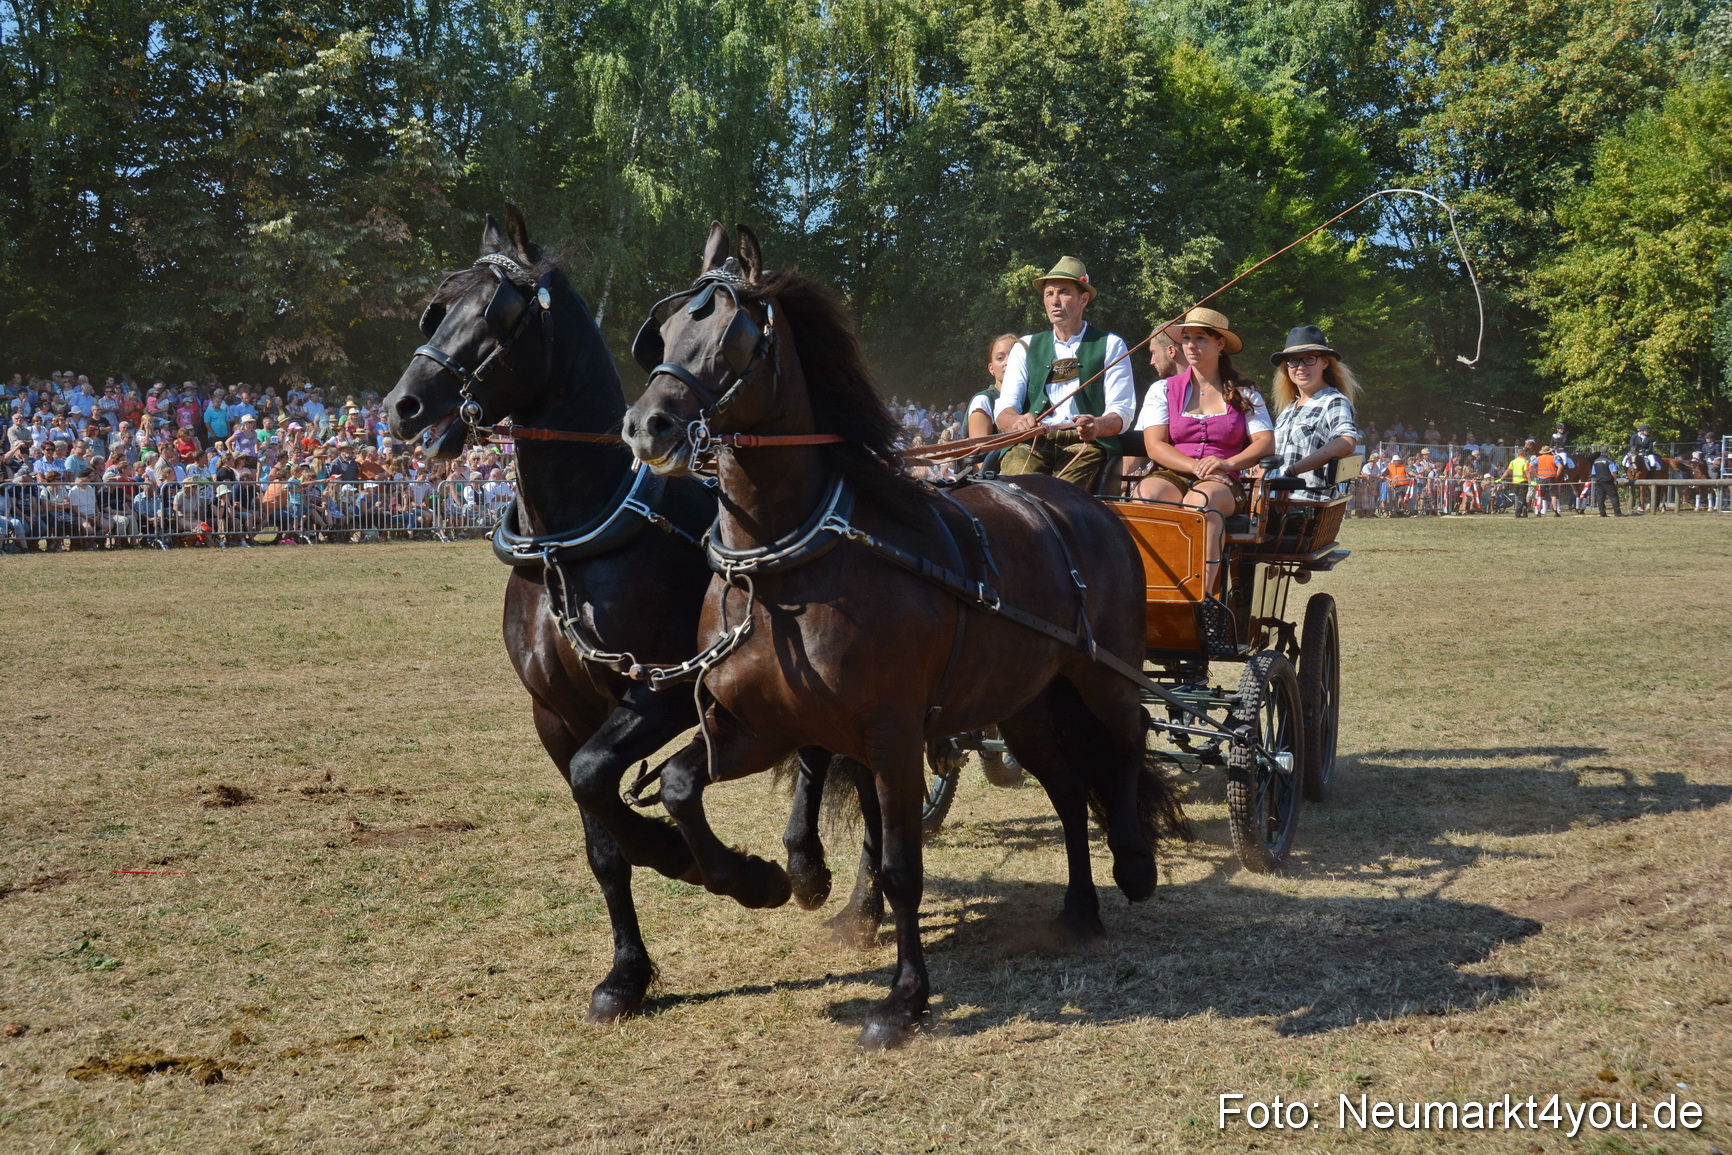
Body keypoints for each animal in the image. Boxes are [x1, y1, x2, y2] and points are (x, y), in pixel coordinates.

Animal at [382, 207, 849, 1023]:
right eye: (436, 308)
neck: (572, 540)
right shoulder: (556, 715)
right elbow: (599, 833)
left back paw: (805, 864)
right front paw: (626, 971)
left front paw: (714, 864)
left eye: (498, 313)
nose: (404, 405)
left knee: (823, 750)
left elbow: (600, 778)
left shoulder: (664, 691)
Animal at [619, 223, 1185, 1049]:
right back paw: (1080, 908)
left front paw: (904, 999)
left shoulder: (890, 735)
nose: (645, 425)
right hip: (1026, 704)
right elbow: (681, 786)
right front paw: (760, 879)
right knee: (1066, 786)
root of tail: (1086, 506)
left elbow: (899, 867)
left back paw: (1135, 863)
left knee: (1128, 733)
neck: (788, 564)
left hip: (1100, 673)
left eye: (732, 335)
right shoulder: (756, 724)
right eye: (661, 336)